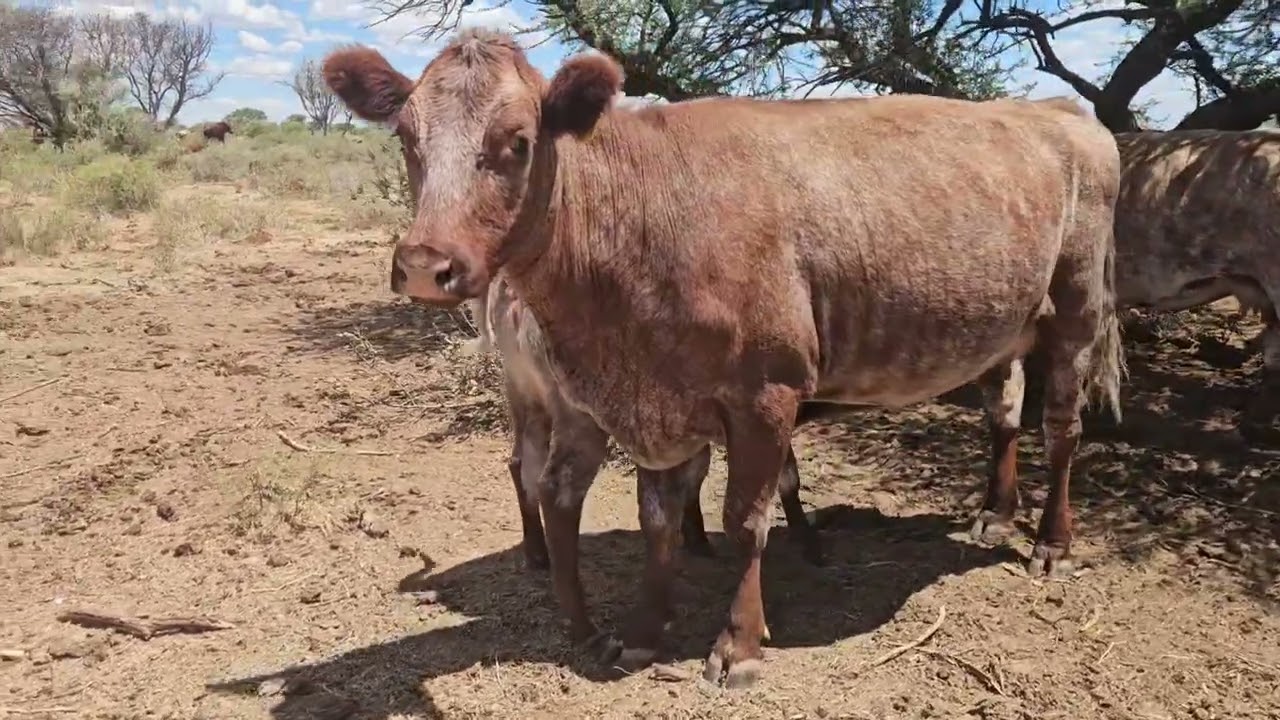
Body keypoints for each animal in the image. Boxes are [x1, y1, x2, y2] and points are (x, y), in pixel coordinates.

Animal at [322, 31, 1124, 688]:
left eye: (517, 140)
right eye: (406, 136)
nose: (425, 266)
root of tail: (1061, 112)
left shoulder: (767, 392)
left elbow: (746, 518)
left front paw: (737, 646)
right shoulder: (656, 401)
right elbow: (656, 519)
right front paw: (644, 630)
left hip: (1077, 309)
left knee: (1062, 429)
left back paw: (1051, 543)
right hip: (1004, 325)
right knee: (1004, 412)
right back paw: (994, 513)